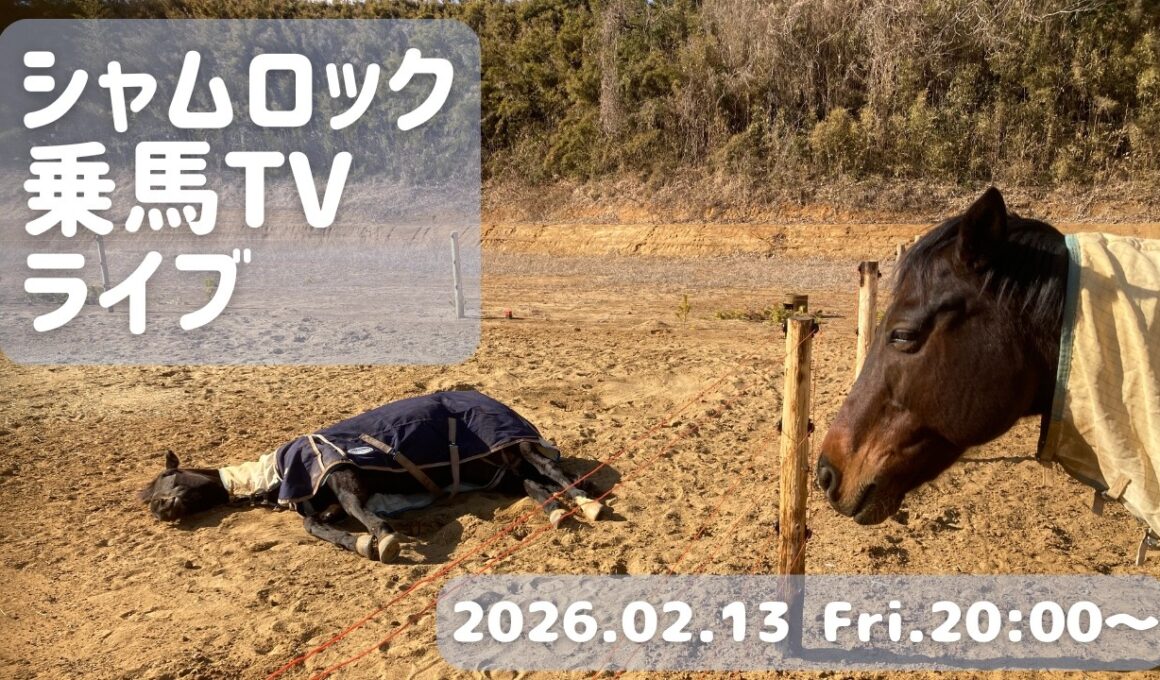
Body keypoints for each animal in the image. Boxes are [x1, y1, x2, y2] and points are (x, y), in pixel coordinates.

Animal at [138, 390, 607, 563]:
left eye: (165, 480)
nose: (160, 510)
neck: (278, 470)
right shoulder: (323, 504)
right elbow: (317, 526)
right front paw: (359, 543)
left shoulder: (344, 477)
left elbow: (359, 513)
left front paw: (382, 538)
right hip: (504, 474)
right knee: (537, 485)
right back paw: (562, 511)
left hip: (514, 446)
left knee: (553, 471)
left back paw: (588, 502)